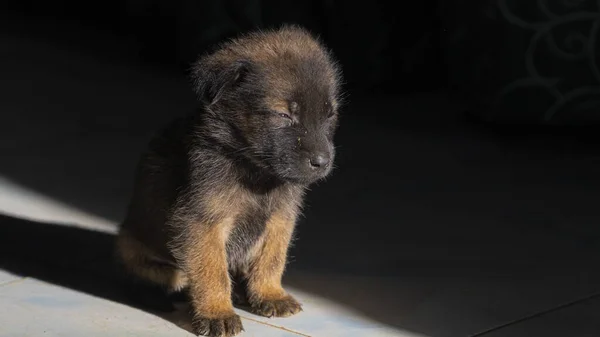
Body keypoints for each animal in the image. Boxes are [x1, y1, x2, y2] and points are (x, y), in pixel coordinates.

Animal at [115, 24, 344, 336]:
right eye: (283, 114)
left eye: (330, 114)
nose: (323, 162)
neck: (255, 172)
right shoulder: (204, 222)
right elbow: (213, 272)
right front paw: (217, 313)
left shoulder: (280, 217)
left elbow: (272, 258)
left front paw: (269, 293)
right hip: (135, 250)